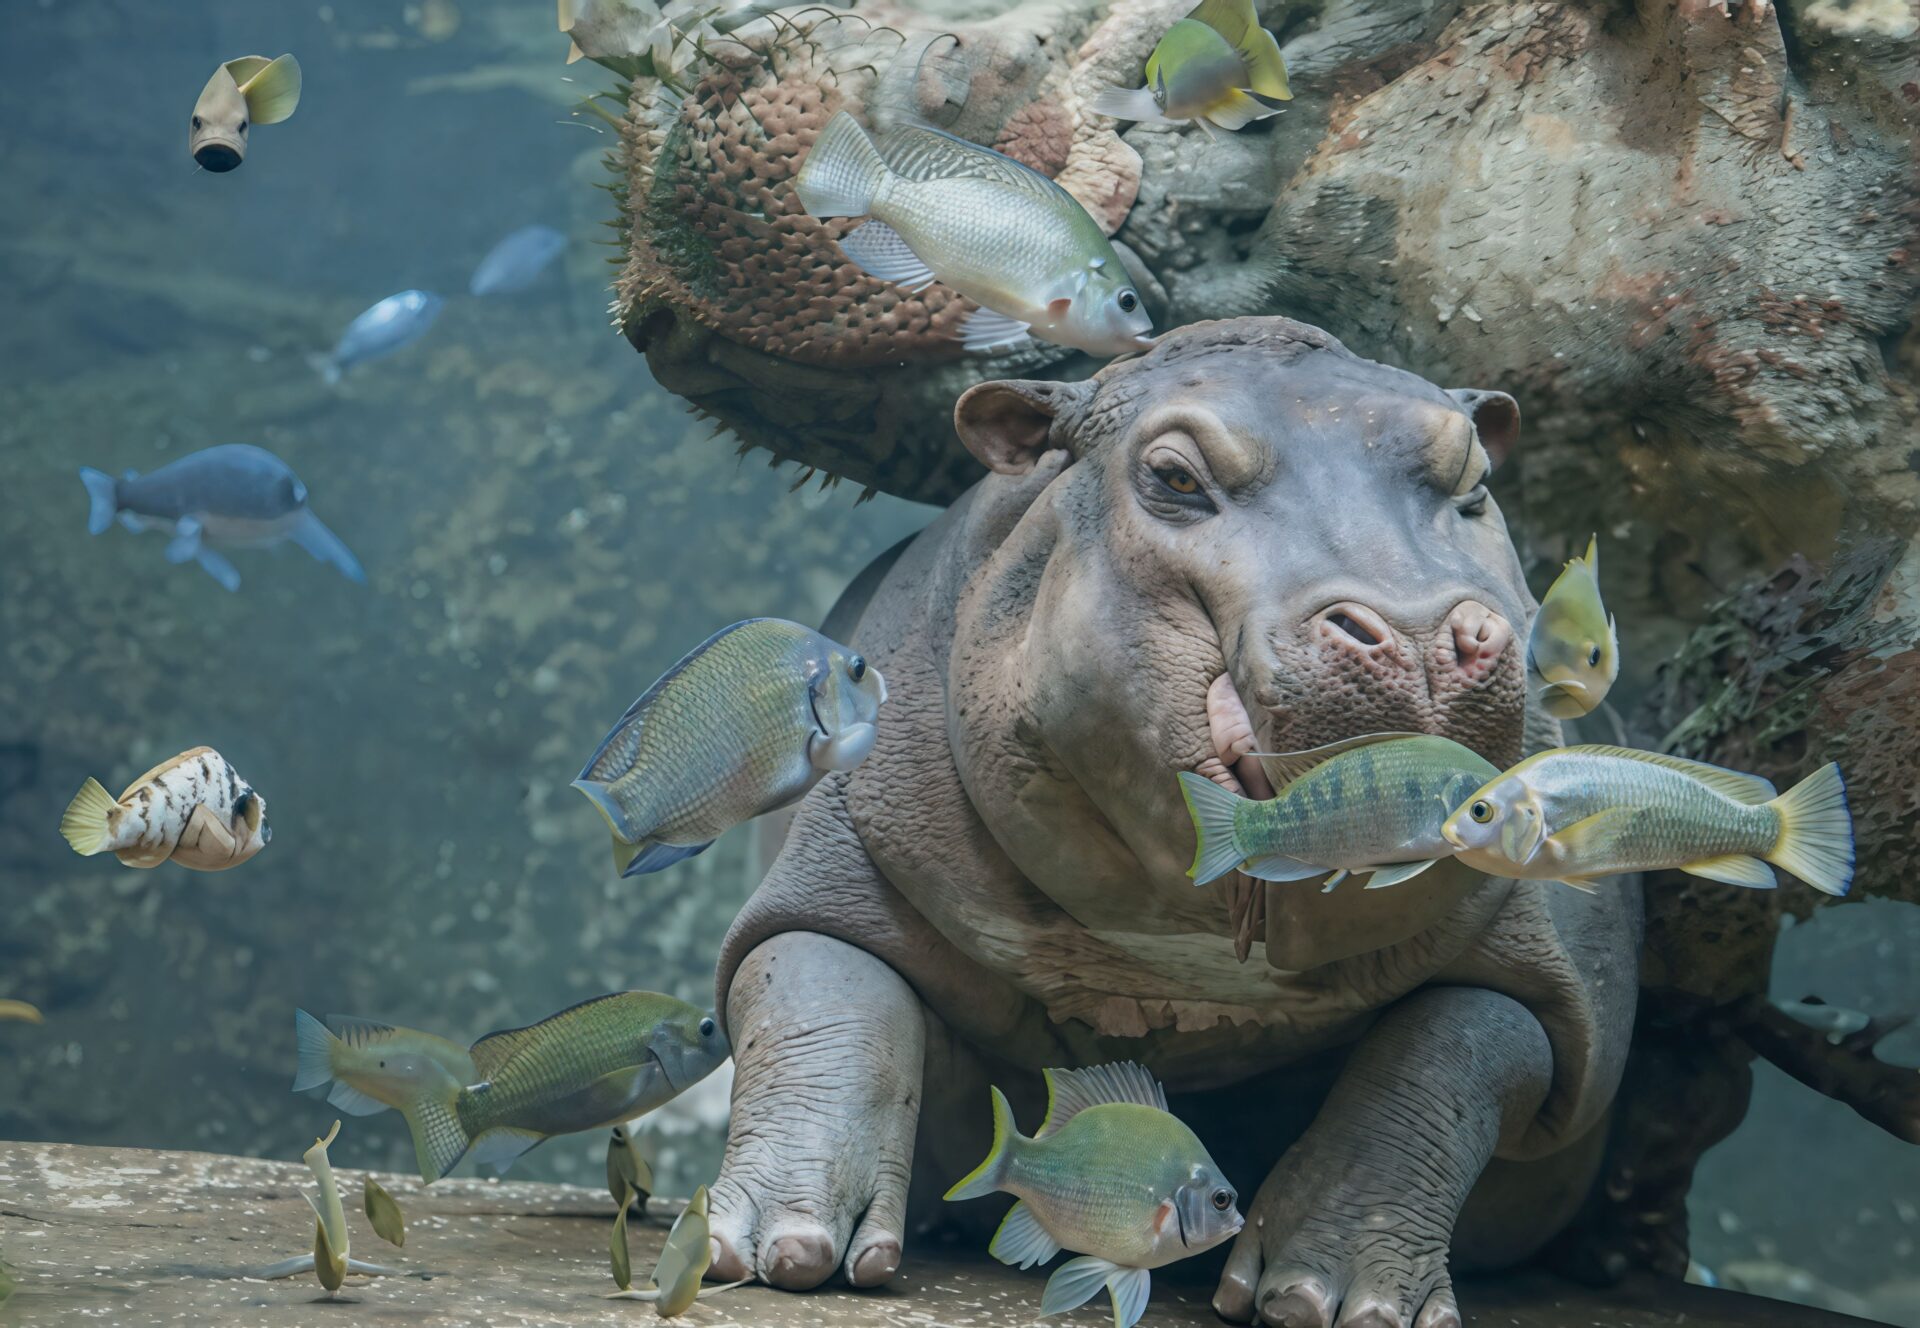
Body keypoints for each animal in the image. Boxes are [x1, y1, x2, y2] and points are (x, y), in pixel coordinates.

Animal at [708, 318, 1641, 1328]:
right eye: (1174, 477)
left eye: (1472, 478)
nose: (1422, 636)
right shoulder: (851, 850)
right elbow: (822, 995)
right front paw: (779, 1252)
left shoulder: (1550, 969)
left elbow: (1443, 1064)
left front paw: (1329, 1300)